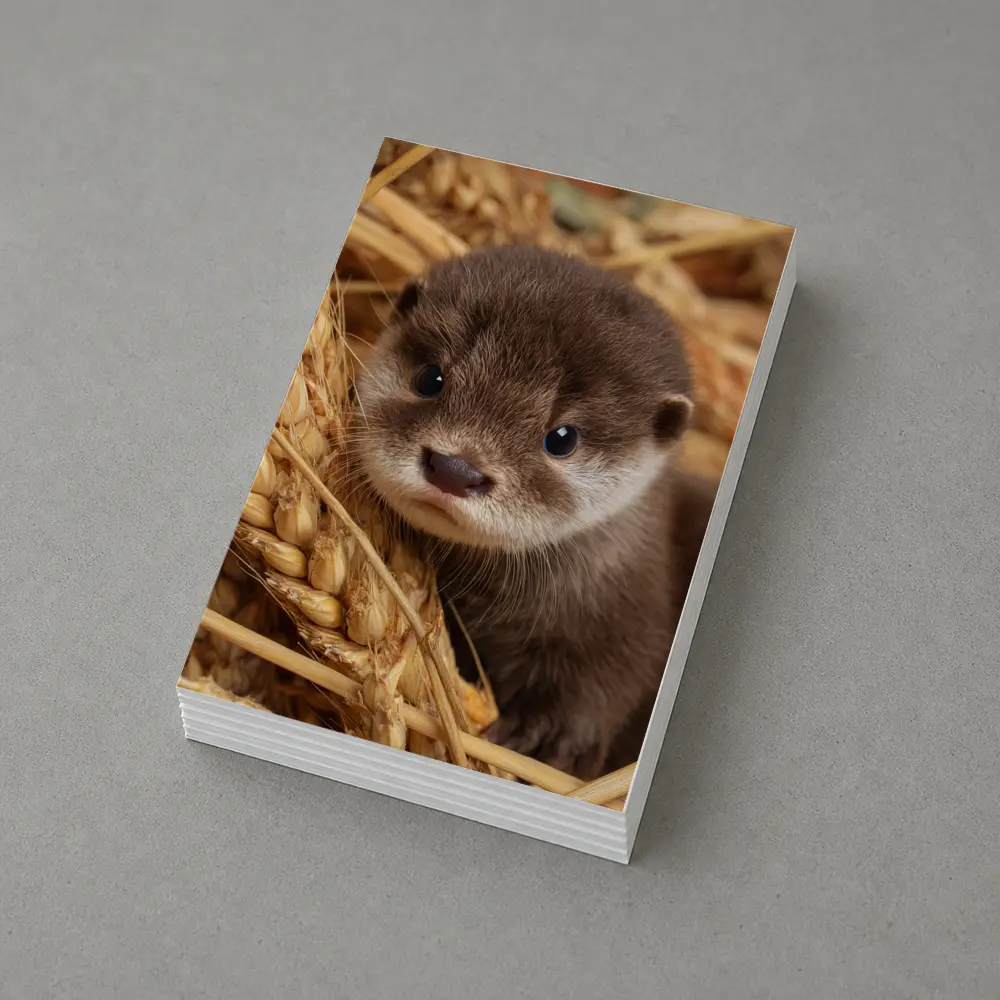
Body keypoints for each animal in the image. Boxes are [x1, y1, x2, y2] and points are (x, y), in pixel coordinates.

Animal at [353, 245, 716, 780]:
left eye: (561, 438)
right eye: (430, 379)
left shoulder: (627, 622)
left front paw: (547, 733)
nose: (455, 469)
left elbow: (608, 676)